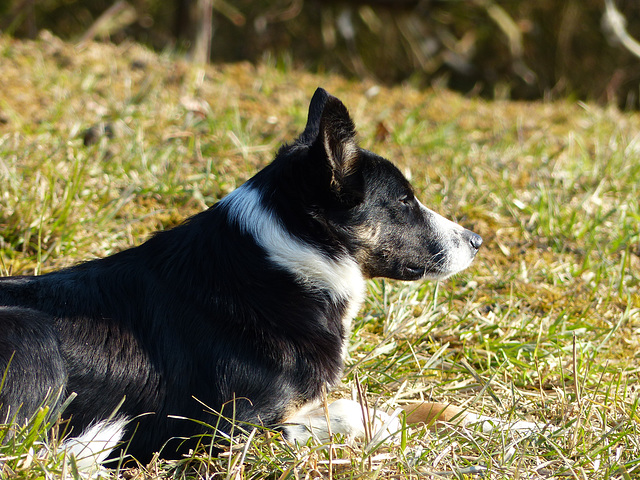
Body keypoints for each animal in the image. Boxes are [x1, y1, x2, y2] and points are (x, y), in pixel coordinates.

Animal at [0, 88, 480, 464]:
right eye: (404, 201)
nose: (476, 240)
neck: (289, 260)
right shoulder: (212, 432)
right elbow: (343, 414)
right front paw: (378, 425)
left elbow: (407, 404)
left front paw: (478, 418)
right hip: (33, 337)